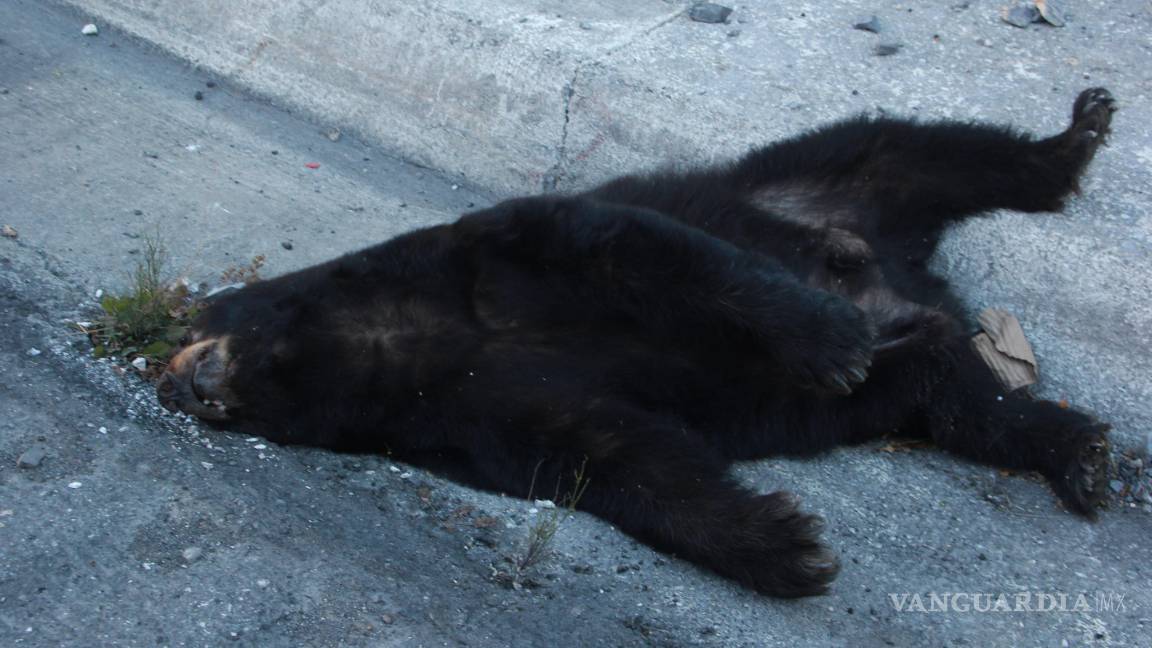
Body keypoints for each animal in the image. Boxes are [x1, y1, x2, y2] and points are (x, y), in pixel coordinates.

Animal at [157, 88, 1116, 598]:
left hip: (806, 181)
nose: (176, 386)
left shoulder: (490, 256)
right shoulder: (459, 413)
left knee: (918, 149)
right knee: (964, 402)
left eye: (188, 327)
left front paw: (826, 338)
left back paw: (1074, 138)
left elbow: (636, 252)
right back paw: (1075, 450)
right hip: (913, 367)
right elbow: (611, 454)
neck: (392, 336)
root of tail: (915, 283)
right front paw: (786, 544)